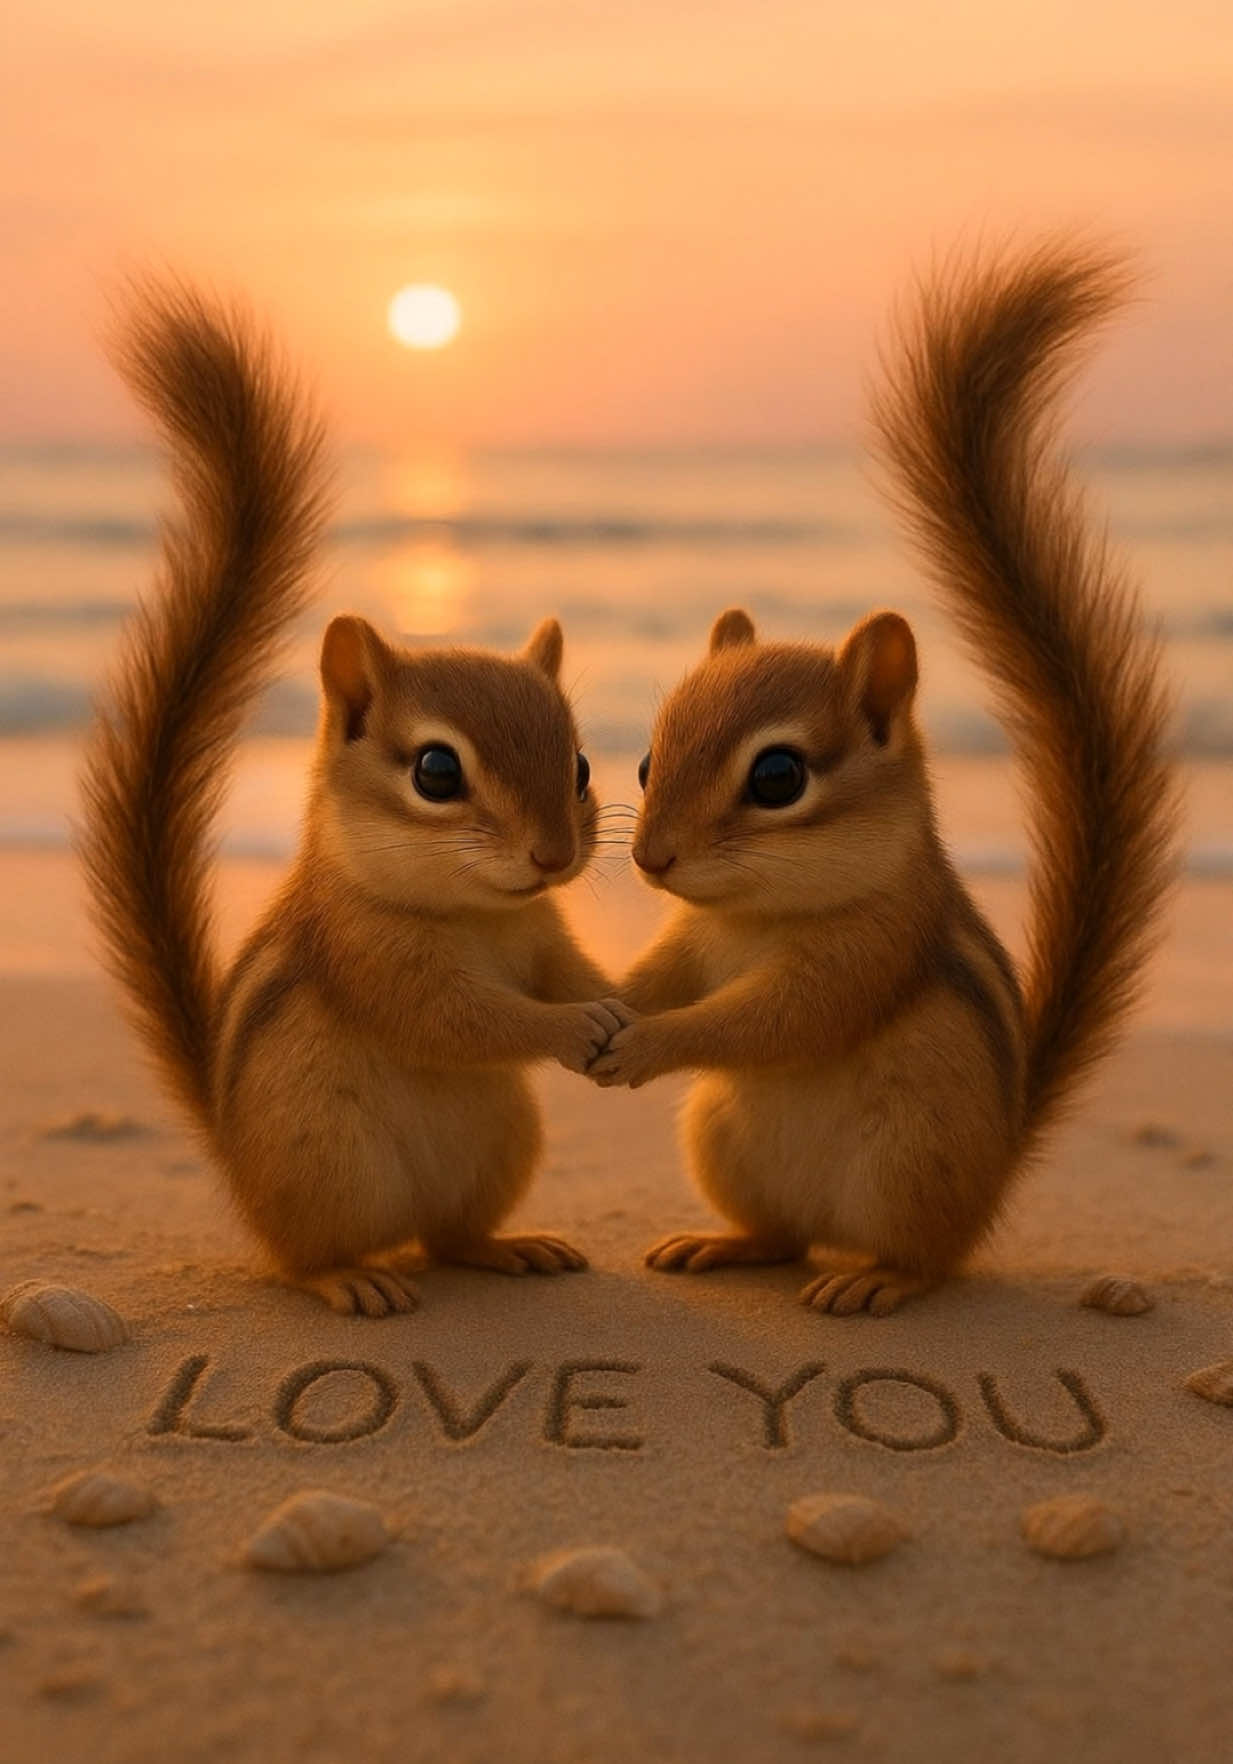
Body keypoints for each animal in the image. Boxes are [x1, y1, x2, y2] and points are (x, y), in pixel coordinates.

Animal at [80, 281, 629, 1316]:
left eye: (579, 765)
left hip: (502, 1142)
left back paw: (509, 1248)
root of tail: (233, 1157)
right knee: (302, 1257)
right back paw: (351, 1279)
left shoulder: (543, 935)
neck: (479, 916)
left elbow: (570, 971)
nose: (551, 857)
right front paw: (571, 1026)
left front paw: (626, 1000)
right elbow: (465, 1019)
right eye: (437, 773)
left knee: (450, 1238)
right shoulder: (373, 960)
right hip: (326, 1166)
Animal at [589, 240, 1179, 1315]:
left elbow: (770, 1019)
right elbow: (660, 980)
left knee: (926, 1259)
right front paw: (604, 1005)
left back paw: (873, 1285)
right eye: (649, 761)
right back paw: (720, 1245)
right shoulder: (693, 941)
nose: (651, 861)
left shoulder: (865, 955)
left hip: (912, 1164)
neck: (757, 915)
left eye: (778, 777)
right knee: (781, 1237)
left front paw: (646, 1046)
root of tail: (1001, 1163)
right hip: (722, 1143)